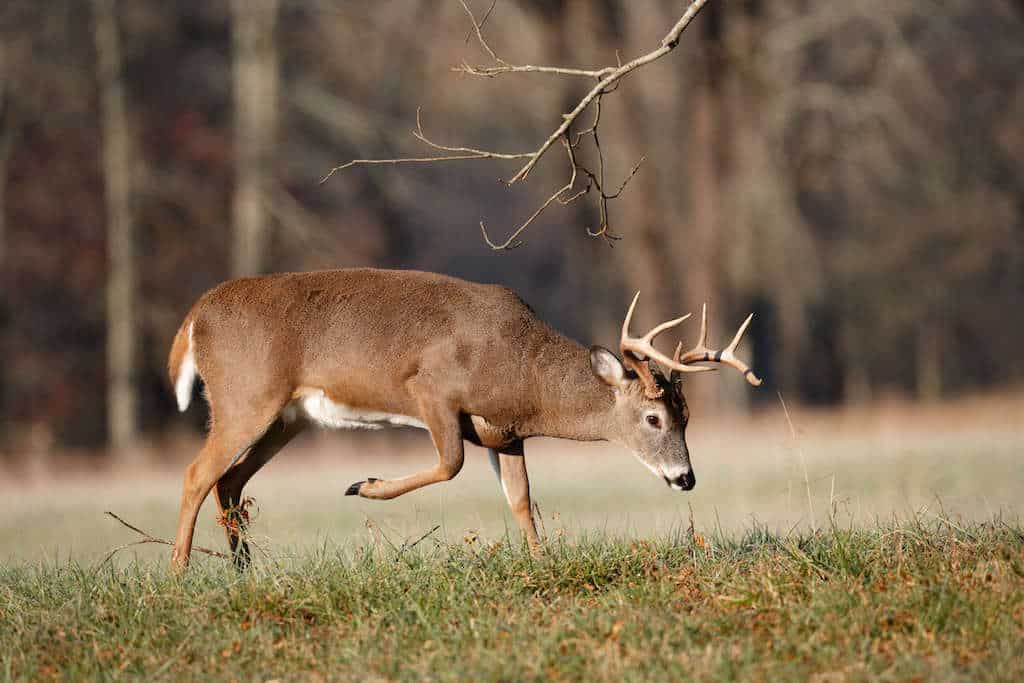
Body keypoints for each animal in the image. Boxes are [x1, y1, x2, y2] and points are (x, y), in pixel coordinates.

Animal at [167, 268, 760, 570]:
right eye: (654, 417)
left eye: (689, 417)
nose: (685, 478)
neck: (522, 371)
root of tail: (194, 318)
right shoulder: (432, 390)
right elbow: (450, 463)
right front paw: (364, 485)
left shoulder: (505, 434)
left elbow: (521, 499)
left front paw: (541, 563)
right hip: (246, 398)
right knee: (197, 475)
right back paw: (180, 574)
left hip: (286, 418)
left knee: (229, 482)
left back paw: (245, 570)